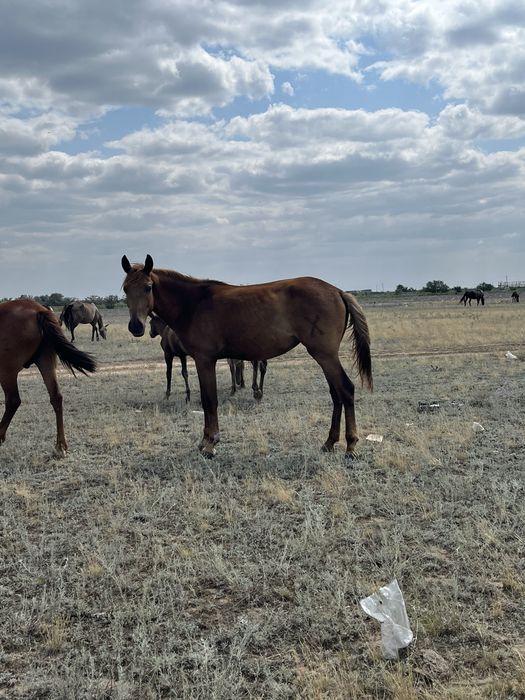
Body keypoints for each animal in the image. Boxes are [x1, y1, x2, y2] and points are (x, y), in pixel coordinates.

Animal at [0, 299, 96, 455]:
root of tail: (38, 309)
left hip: (7, 371)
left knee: (13, 401)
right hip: (46, 361)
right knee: (56, 397)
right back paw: (61, 445)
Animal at [121, 254, 372, 457]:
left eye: (148, 287)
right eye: (125, 289)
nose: (136, 327)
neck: (193, 304)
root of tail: (337, 291)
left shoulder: (205, 360)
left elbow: (209, 400)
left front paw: (210, 443)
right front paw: (205, 442)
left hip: (325, 355)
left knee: (345, 390)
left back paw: (350, 445)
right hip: (324, 357)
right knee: (336, 394)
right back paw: (329, 442)